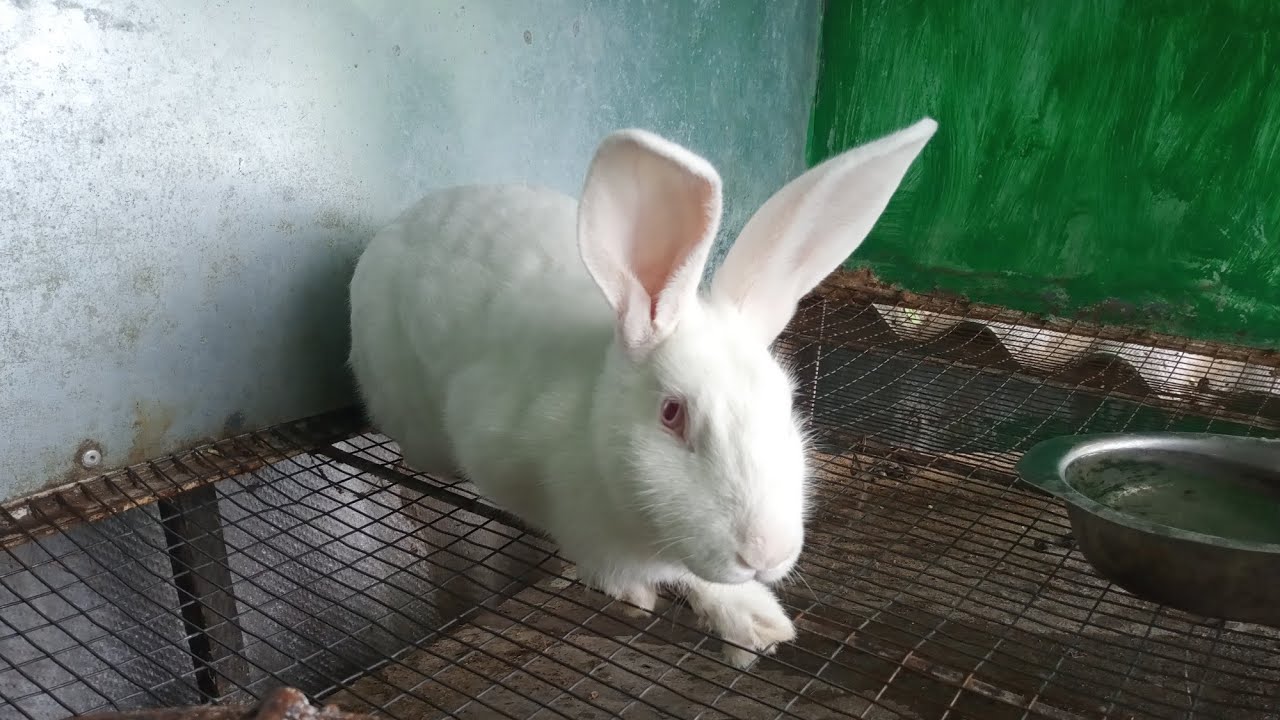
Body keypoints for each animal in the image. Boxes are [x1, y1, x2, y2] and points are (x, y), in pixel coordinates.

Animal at [348, 117, 937, 668]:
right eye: (672, 413)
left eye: (789, 403)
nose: (766, 553)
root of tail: (392, 229)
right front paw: (631, 591)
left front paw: (756, 623)